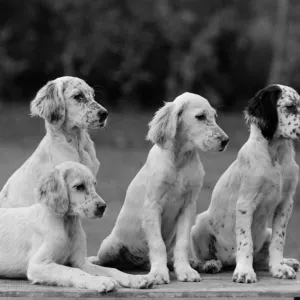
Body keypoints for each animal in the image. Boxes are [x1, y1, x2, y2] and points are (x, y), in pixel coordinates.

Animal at [0, 161, 152, 292]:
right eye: (79, 186)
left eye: (94, 184)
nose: (103, 207)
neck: (67, 224)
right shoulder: (39, 264)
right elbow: (73, 271)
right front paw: (101, 281)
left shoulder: (80, 261)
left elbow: (111, 270)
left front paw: (133, 278)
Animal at [89, 92, 230, 284]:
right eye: (200, 116)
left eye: (215, 116)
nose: (225, 141)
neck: (180, 160)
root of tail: (140, 262)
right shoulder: (152, 206)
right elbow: (157, 244)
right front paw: (158, 273)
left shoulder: (188, 206)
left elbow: (182, 243)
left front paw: (185, 270)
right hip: (109, 246)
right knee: (106, 261)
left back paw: (206, 264)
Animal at [191, 84, 300, 284]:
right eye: (289, 107)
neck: (276, 155)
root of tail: (228, 260)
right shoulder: (245, 203)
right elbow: (245, 241)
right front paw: (244, 271)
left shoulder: (286, 203)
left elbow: (278, 240)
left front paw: (279, 267)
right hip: (198, 227)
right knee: (200, 259)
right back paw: (211, 264)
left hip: (266, 231)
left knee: (261, 257)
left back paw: (287, 261)